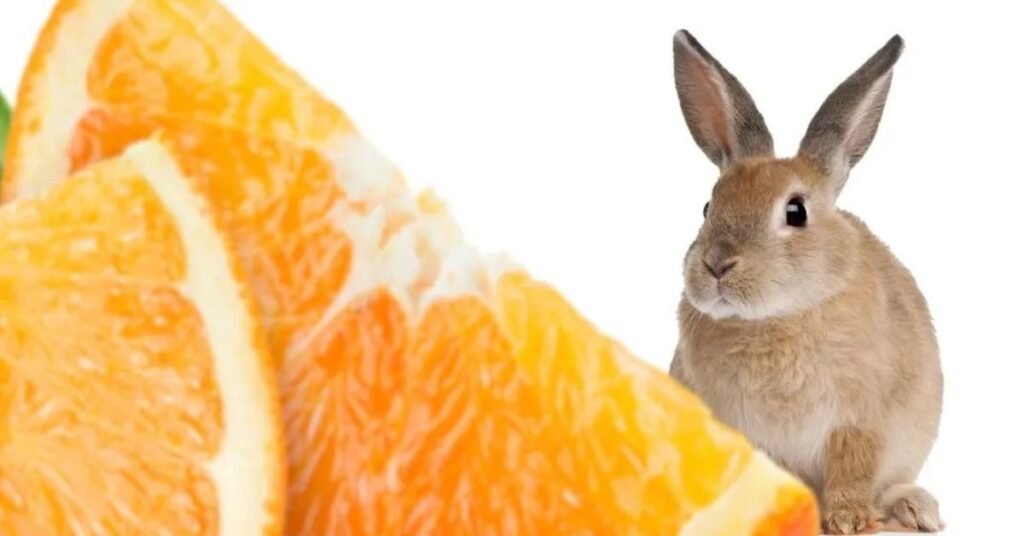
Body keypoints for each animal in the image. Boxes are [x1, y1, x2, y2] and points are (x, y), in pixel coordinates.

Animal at [667, 30, 944, 535]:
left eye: (795, 212)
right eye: (708, 207)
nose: (716, 265)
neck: (776, 318)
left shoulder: (858, 420)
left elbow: (853, 468)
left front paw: (850, 520)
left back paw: (916, 509)